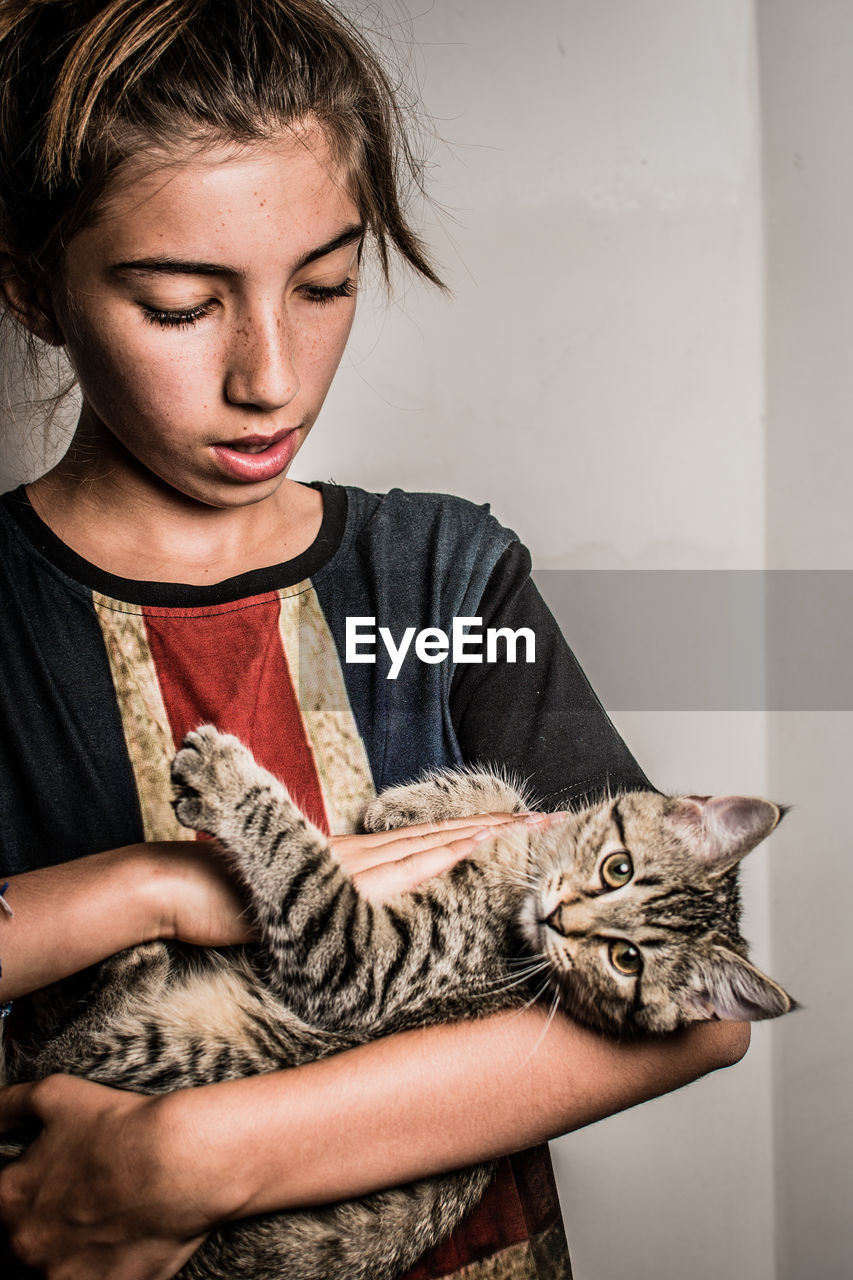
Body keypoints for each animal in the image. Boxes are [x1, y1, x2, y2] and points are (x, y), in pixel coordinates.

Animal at [3, 727, 794, 1280]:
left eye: (626, 960)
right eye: (617, 868)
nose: (561, 919)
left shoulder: (364, 964)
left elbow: (303, 872)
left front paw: (228, 782)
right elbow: (512, 802)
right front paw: (413, 807)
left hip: (166, 1048)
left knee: (61, 1049)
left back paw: (135, 964)